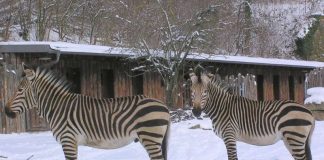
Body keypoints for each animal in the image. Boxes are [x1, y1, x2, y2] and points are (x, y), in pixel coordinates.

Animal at [5, 64, 170, 160]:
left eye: (19, 90)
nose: (5, 111)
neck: (57, 106)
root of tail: (164, 106)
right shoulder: (71, 142)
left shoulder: (68, 140)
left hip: (150, 137)